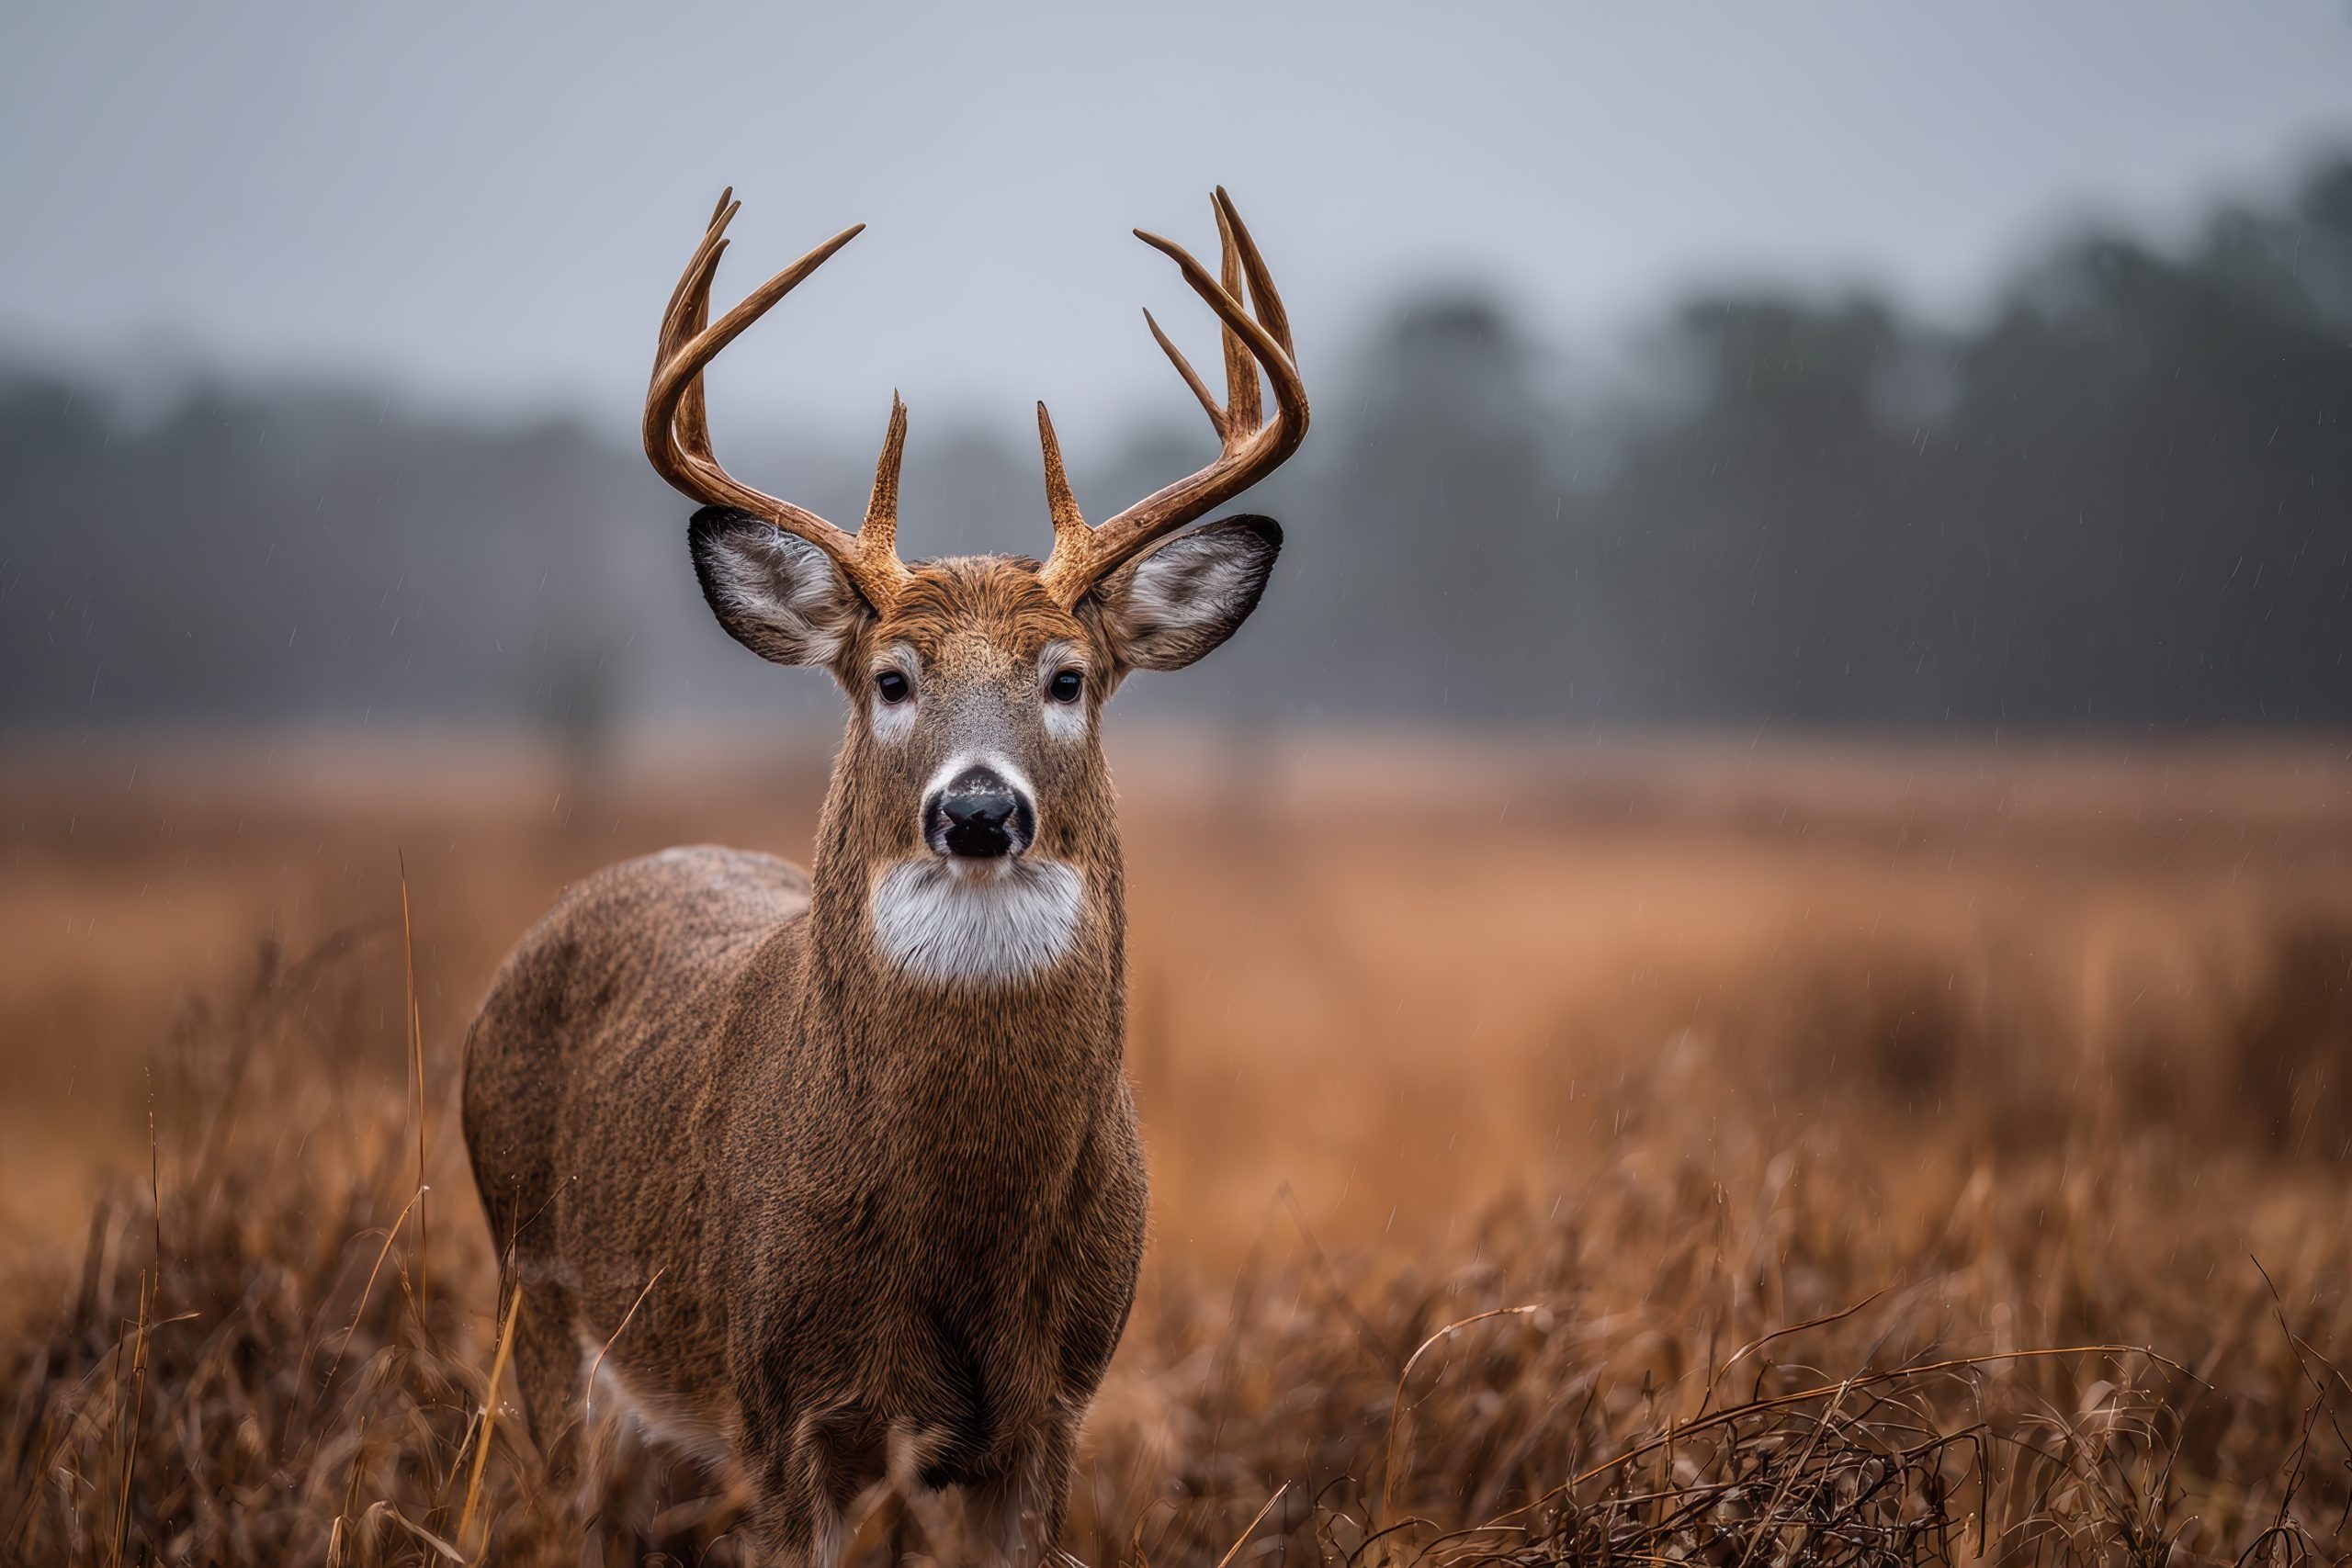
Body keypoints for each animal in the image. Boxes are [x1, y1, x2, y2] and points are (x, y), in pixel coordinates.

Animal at [461, 184, 1307, 1567]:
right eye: (891, 676)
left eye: (1069, 676)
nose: (977, 807)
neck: (959, 1235)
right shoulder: (779, 1401)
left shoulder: (1054, 1400)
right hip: (534, 1285)